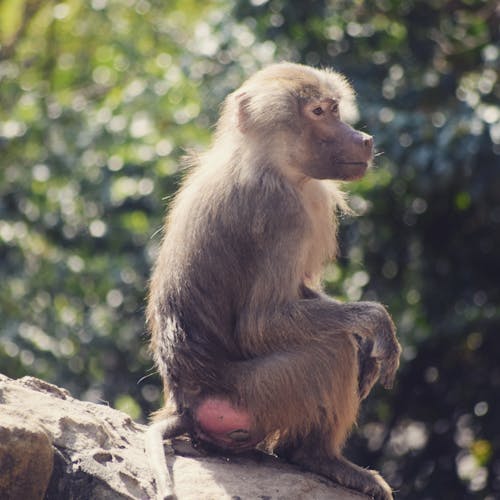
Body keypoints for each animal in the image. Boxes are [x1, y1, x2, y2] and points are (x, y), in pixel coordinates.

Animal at [146, 62, 402, 500]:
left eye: (335, 108)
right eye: (319, 112)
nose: (364, 140)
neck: (269, 162)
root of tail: (184, 403)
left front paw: (368, 346)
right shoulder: (282, 214)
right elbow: (261, 323)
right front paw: (375, 324)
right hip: (255, 396)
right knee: (329, 351)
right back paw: (318, 458)